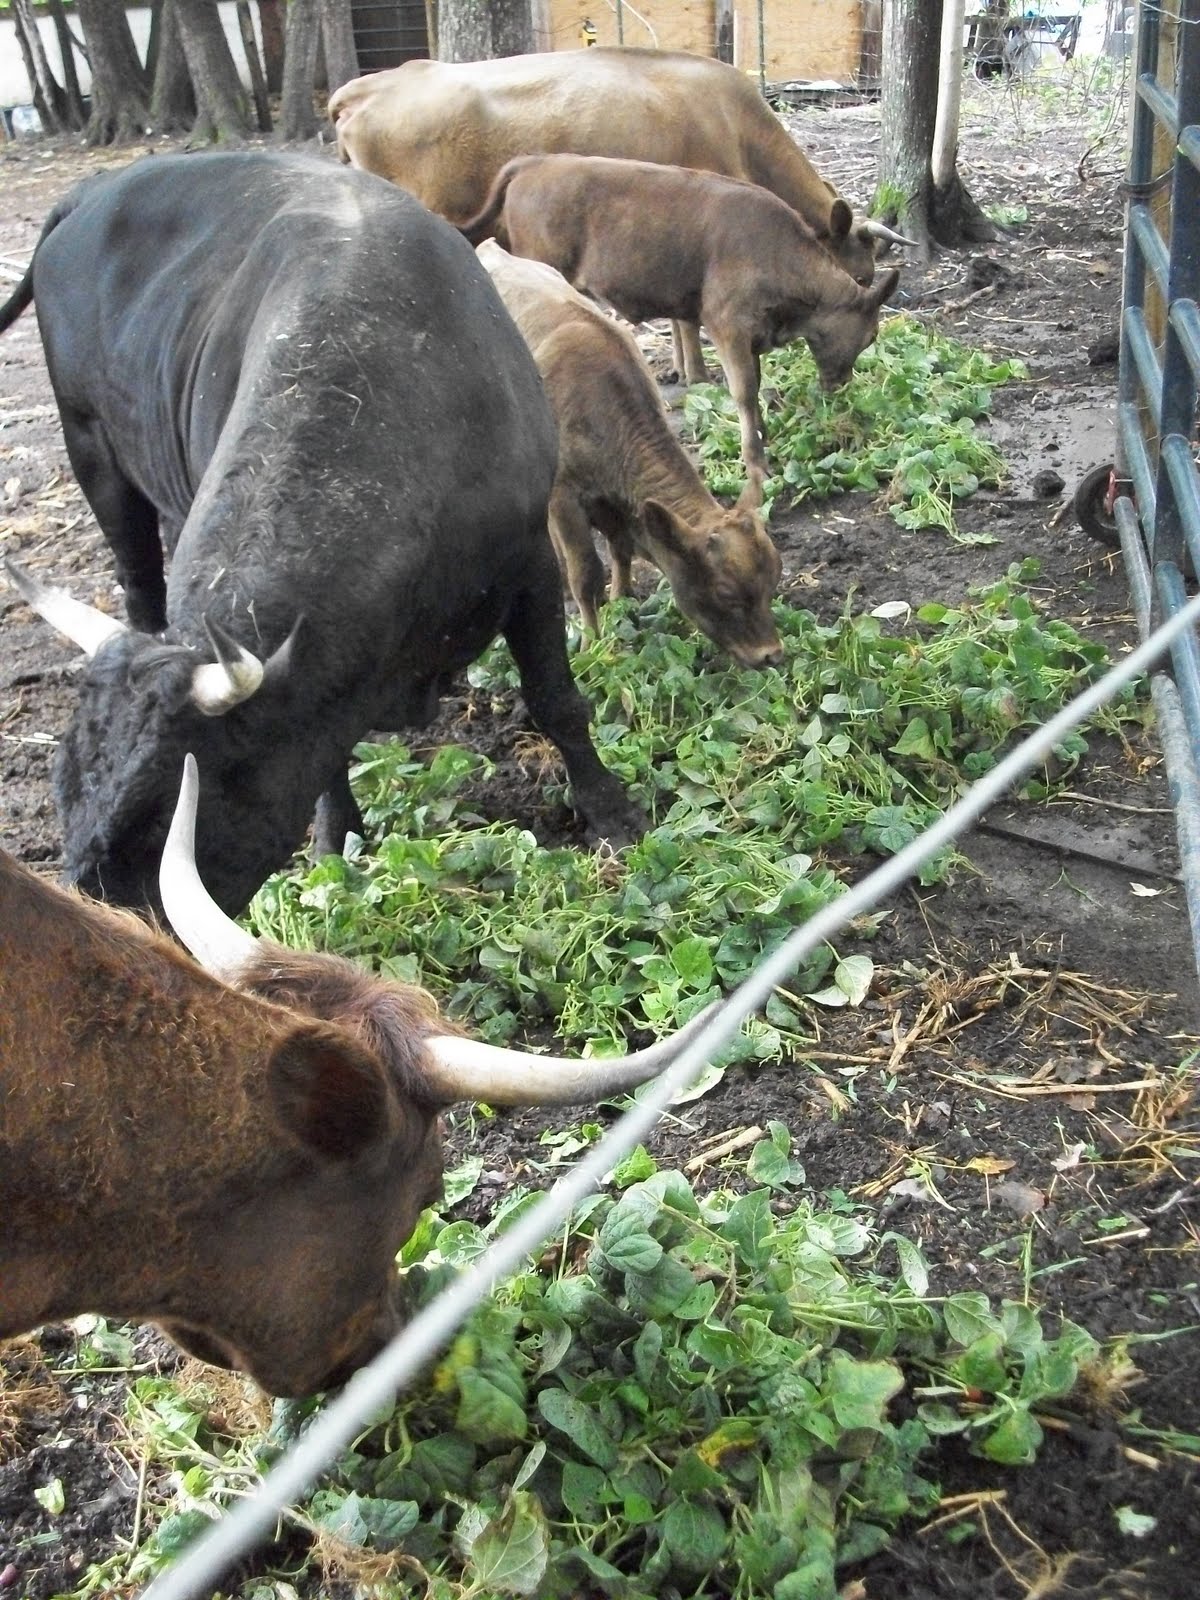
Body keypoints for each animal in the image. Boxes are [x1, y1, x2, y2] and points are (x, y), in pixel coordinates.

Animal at [0, 151, 646, 920]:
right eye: (63, 796)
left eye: (157, 818)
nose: (101, 925)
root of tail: (92, 190)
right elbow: (324, 757)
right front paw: (334, 845)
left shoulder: (529, 560)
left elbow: (556, 701)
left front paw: (611, 812)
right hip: (90, 444)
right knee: (137, 579)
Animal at [327, 46, 913, 384]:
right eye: (861, 278)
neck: (730, 119)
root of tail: (364, 87)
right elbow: (685, 318)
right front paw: (695, 373)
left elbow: (679, 313)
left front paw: (681, 370)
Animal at [460, 156, 900, 492]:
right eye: (871, 334)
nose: (839, 385)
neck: (776, 254)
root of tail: (533, 163)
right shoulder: (727, 328)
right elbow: (744, 391)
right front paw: (756, 465)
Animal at [477, 241, 783, 668]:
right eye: (726, 592)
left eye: (774, 578)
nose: (772, 655)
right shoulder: (563, 495)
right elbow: (586, 572)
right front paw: (592, 642)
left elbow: (620, 549)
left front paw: (622, 598)